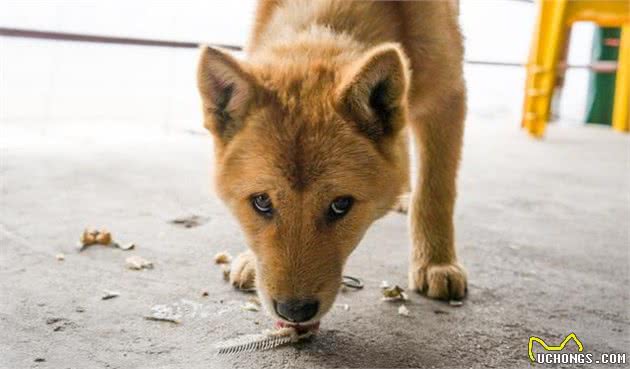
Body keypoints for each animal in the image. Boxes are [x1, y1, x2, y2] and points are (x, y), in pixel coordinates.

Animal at [198, 0, 470, 328]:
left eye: (341, 205)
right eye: (261, 202)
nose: (294, 312)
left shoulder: (448, 98)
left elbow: (434, 193)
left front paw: (436, 263)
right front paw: (252, 260)